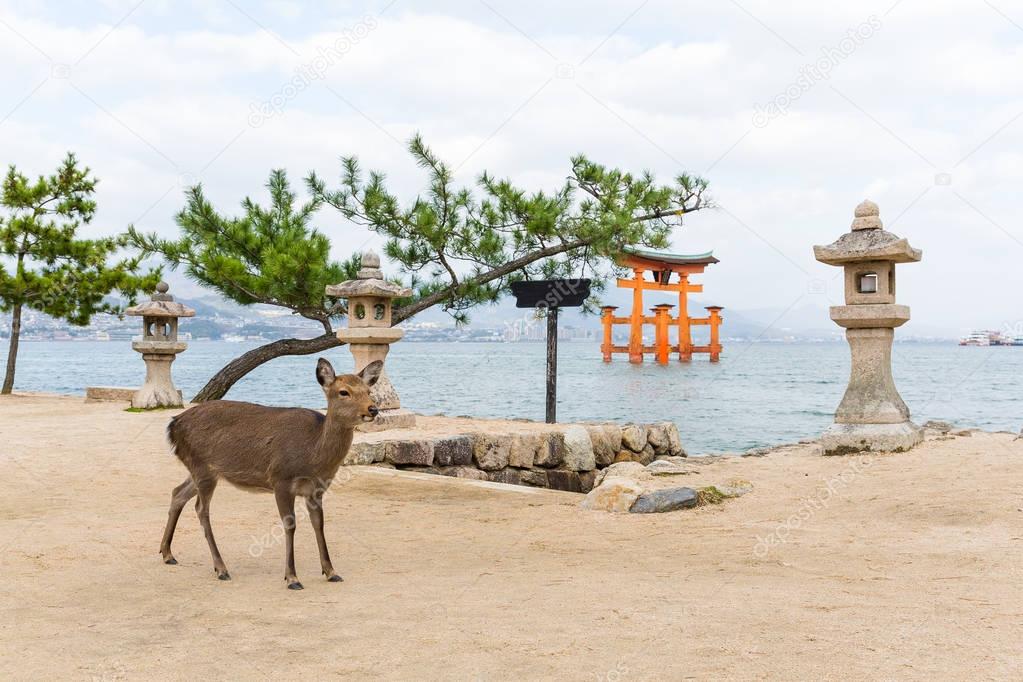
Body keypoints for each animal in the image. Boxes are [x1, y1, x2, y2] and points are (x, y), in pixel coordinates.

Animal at [159, 359, 384, 588]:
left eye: (368, 391)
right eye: (343, 392)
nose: (373, 409)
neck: (313, 455)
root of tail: (173, 424)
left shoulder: (316, 490)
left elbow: (319, 524)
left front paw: (331, 572)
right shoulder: (281, 479)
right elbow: (290, 524)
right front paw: (292, 577)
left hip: (200, 469)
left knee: (177, 492)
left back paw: (167, 554)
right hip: (202, 467)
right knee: (201, 509)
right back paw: (221, 568)